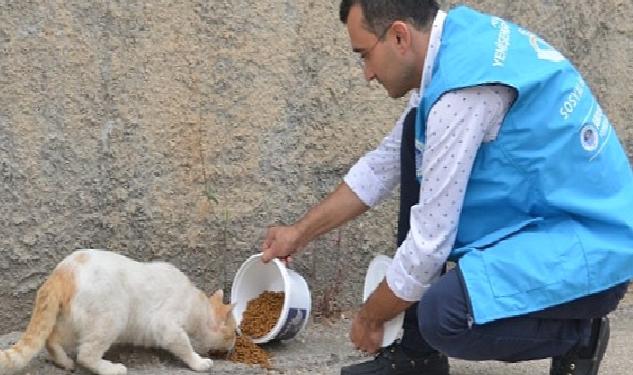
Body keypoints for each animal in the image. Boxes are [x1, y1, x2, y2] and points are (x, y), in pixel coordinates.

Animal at [0, 250, 236, 375]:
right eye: (235, 333)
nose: (234, 345)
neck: (198, 304)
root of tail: (61, 271)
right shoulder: (166, 325)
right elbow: (185, 347)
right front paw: (199, 362)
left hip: (73, 321)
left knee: (51, 339)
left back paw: (64, 363)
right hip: (110, 318)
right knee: (86, 354)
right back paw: (112, 368)